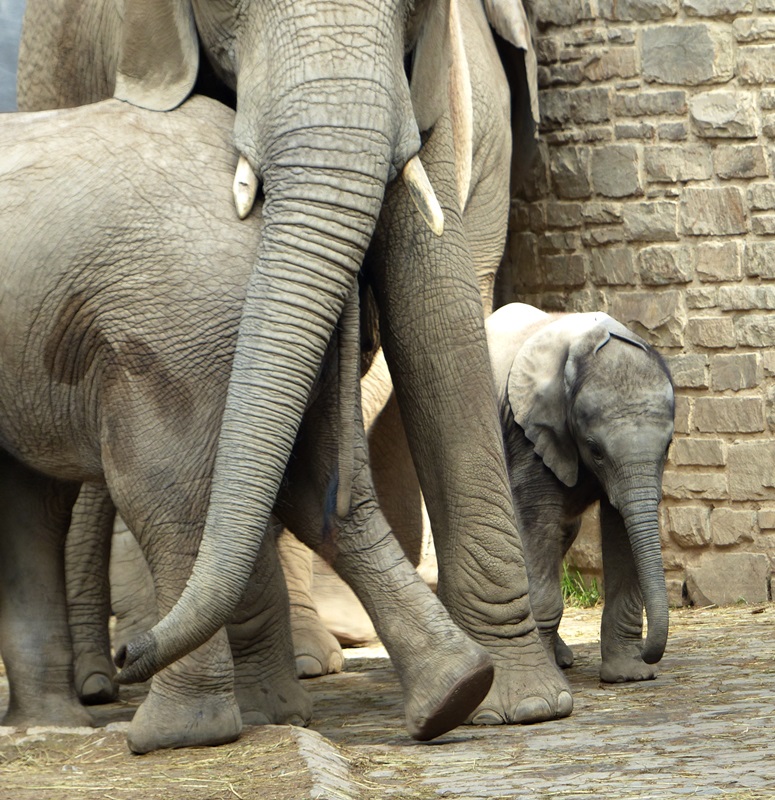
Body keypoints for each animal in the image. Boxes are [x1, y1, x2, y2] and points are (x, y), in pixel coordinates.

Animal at [488, 304, 676, 684]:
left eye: (668, 447)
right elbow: (536, 524)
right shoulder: (527, 430)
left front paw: (629, 676)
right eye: (595, 450)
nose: (650, 655)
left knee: (565, 532)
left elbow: (621, 525)